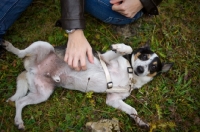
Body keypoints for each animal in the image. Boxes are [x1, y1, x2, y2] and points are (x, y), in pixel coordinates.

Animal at [2, 40, 173, 129]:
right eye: (143, 56)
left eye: (153, 67)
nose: (140, 69)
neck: (130, 74)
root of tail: (29, 69)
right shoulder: (105, 58)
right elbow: (127, 48)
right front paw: (119, 47)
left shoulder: (113, 100)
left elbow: (132, 110)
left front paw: (140, 121)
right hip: (43, 45)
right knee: (21, 53)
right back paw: (10, 47)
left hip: (42, 93)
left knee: (20, 102)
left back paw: (18, 121)